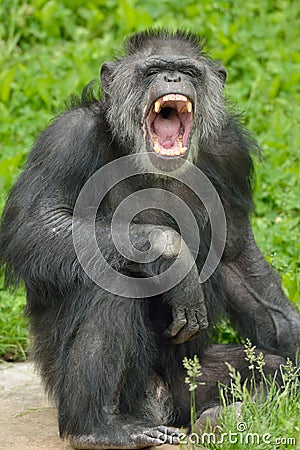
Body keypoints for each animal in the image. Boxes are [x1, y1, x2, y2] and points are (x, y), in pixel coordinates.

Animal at [0, 29, 300, 448]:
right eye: (153, 70)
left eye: (187, 71)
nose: (172, 78)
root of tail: (165, 406)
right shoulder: (65, 140)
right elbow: (37, 224)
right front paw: (171, 254)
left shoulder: (231, 153)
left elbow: (238, 257)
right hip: (117, 393)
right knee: (112, 278)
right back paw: (97, 427)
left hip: (192, 377)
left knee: (270, 369)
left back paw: (228, 415)